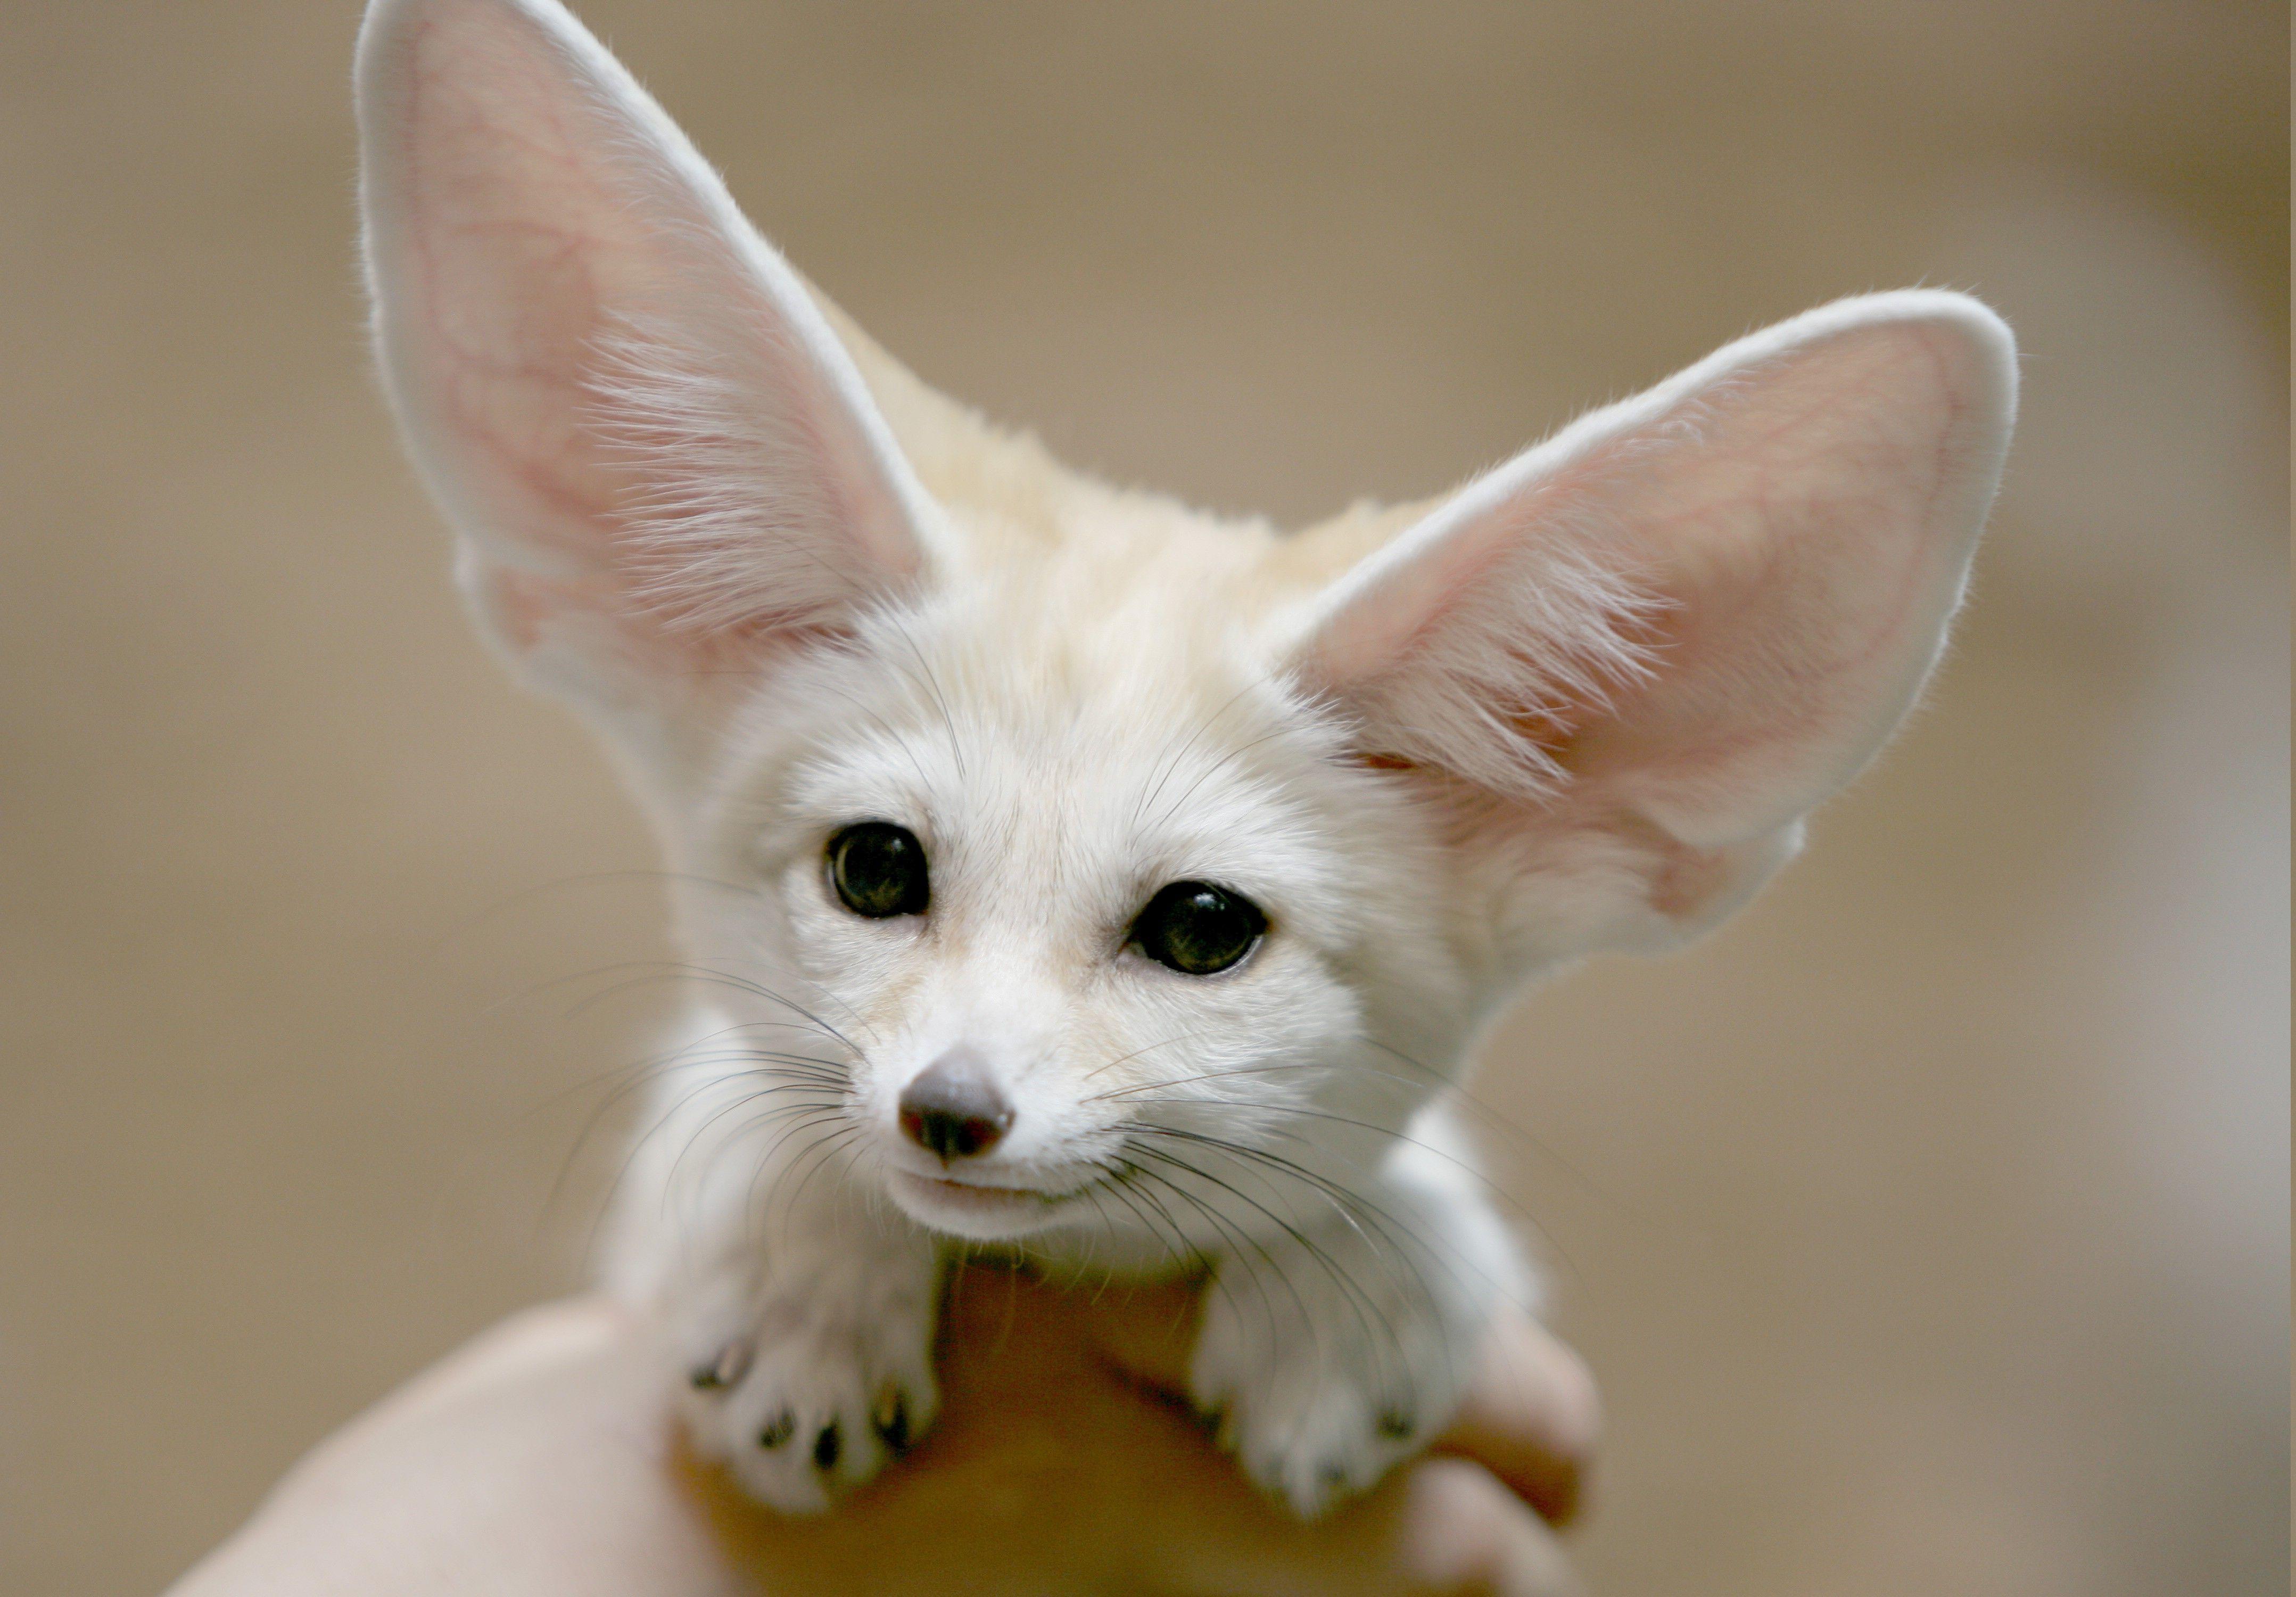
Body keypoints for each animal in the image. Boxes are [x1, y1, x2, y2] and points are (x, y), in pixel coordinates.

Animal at [354, 0, 2015, 1518]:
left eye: (1203, 929)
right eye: (875, 867)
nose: (948, 1110)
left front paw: (1359, 1276)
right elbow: (749, 1100)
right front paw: (806, 1275)